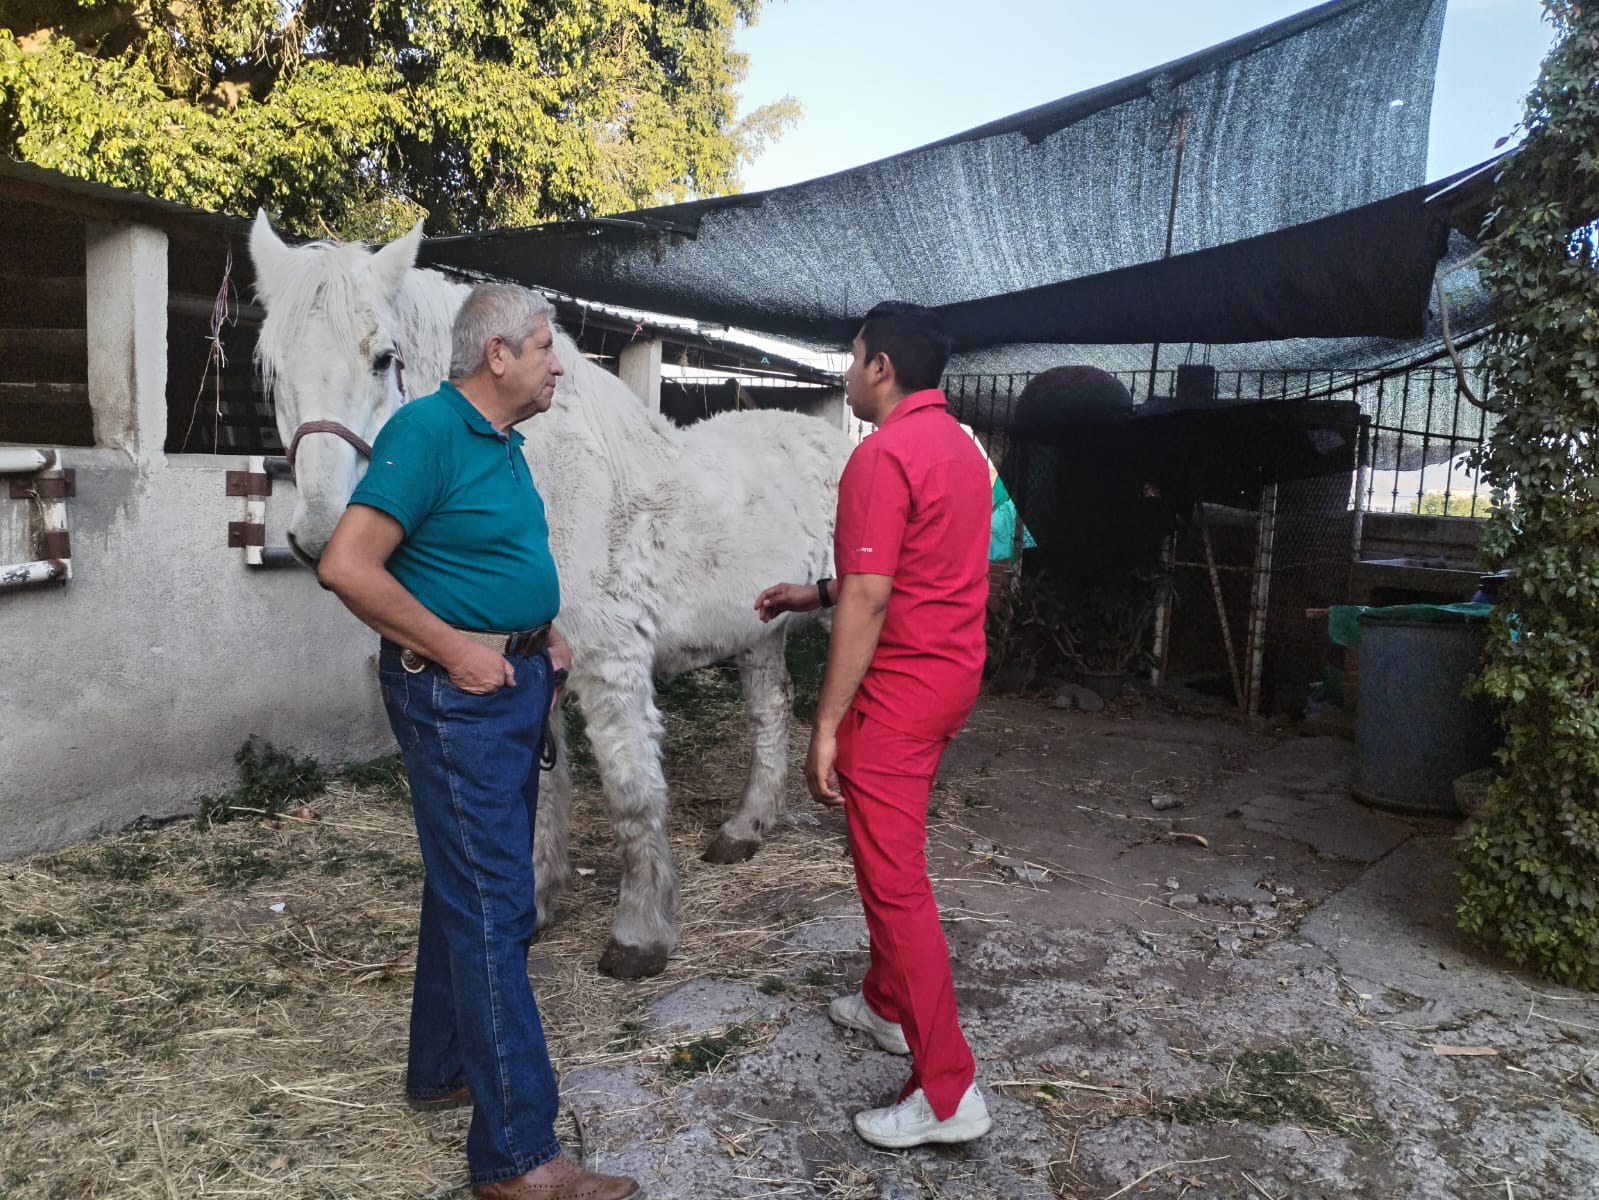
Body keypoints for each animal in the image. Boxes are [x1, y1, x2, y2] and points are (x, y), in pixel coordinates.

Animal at [249, 214, 850, 979]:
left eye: (384, 358)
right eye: (273, 368)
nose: (320, 535)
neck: (547, 480)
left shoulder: (611, 663)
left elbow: (631, 790)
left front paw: (640, 934)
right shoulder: (536, 665)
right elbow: (537, 794)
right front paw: (533, 907)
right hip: (762, 626)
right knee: (771, 714)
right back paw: (744, 830)